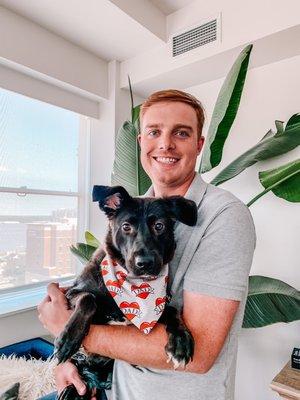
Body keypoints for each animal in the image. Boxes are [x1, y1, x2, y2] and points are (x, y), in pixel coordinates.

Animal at [55, 187, 198, 400]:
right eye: (126, 227)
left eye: (159, 226)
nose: (144, 263)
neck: (131, 286)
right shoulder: (71, 293)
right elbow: (88, 298)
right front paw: (68, 339)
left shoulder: (156, 310)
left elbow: (172, 310)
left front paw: (181, 341)